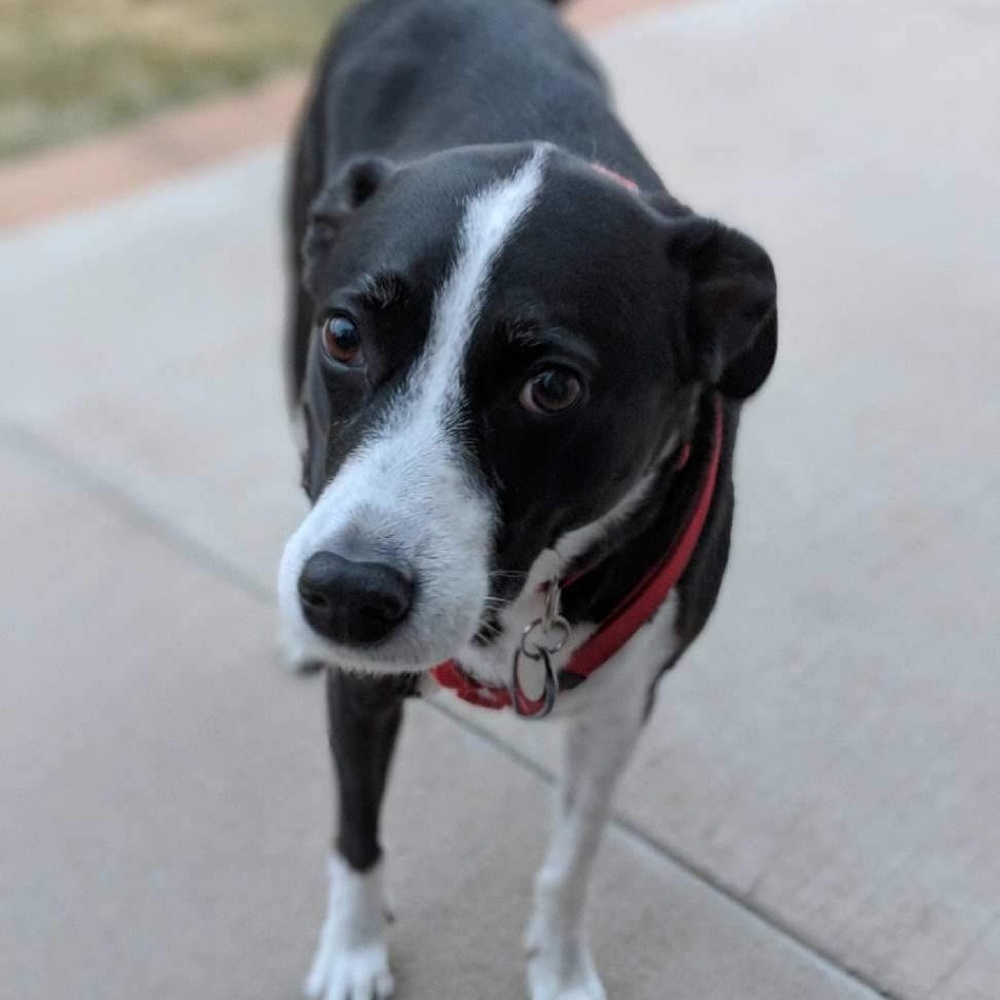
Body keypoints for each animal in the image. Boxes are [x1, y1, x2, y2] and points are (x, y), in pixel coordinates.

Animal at [278, 0, 777, 996]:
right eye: (344, 335)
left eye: (551, 386)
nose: (343, 595)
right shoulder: (361, 683)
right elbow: (356, 831)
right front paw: (353, 953)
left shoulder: (621, 710)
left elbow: (572, 860)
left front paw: (560, 967)